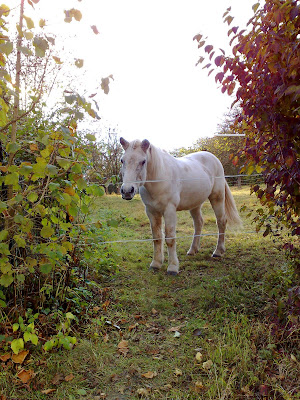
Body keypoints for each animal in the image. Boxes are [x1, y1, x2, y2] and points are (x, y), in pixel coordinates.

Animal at [119, 138, 241, 276]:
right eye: (122, 160)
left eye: (143, 161)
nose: (127, 191)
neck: (159, 179)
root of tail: (214, 158)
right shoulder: (151, 212)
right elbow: (157, 237)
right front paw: (156, 264)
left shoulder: (169, 211)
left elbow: (170, 238)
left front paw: (172, 267)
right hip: (195, 204)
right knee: (198, 223)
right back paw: (192, 250)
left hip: (217, 198)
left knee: (221, 221)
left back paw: (218, 251)